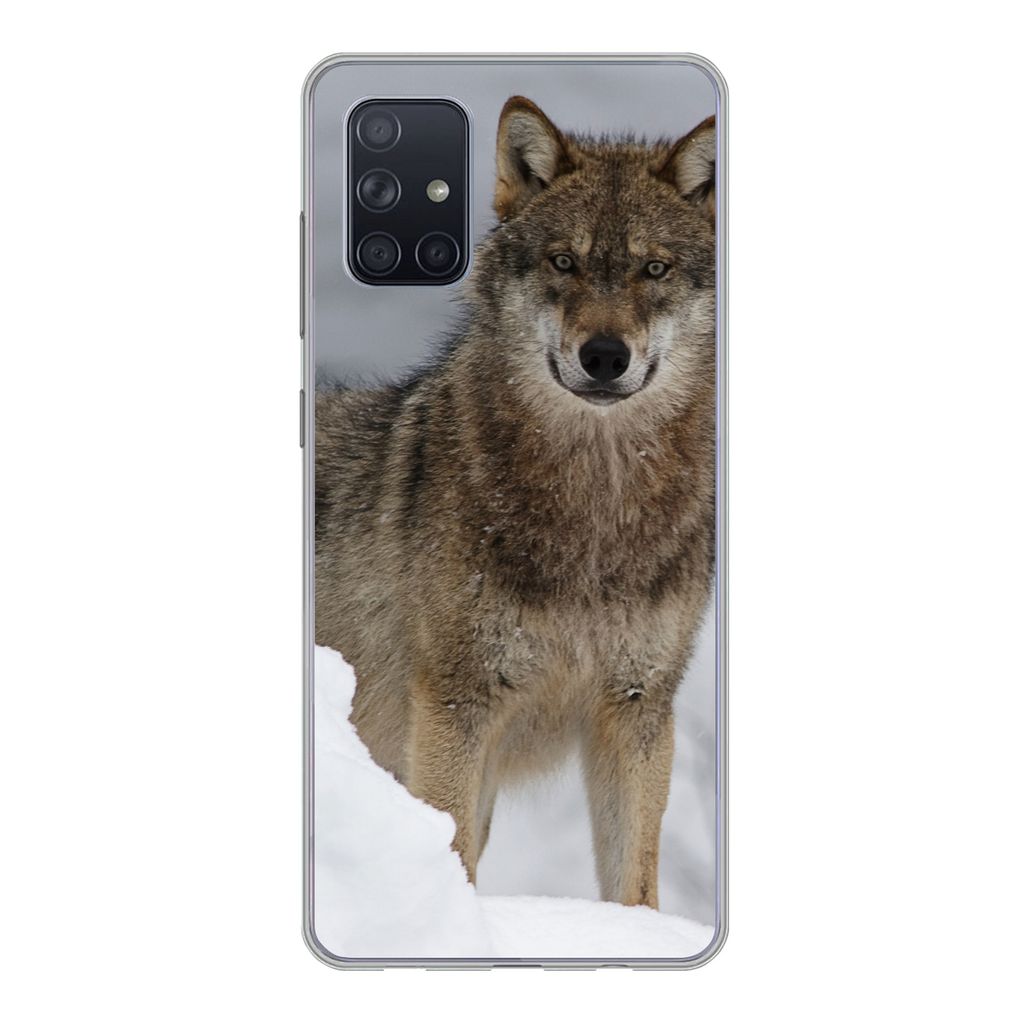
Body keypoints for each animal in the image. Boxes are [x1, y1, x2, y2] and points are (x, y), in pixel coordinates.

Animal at [315, 97, 716, 909]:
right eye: (564, 262)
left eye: (653, 268)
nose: (605, 356)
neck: (596, 510)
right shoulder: (457, 705)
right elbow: (455, 853)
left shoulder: (638, 708)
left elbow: (635, 884)